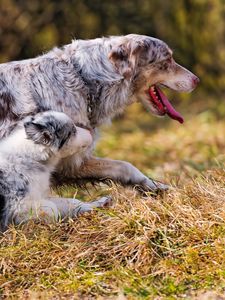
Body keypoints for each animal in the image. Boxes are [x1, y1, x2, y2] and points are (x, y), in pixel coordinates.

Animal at [0, 34, 199, 195]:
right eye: (168, 59)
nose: (197, 80)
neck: (83, 80)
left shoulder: (72, 163)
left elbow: (124, 166)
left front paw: (155, 187)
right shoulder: (65, 159)